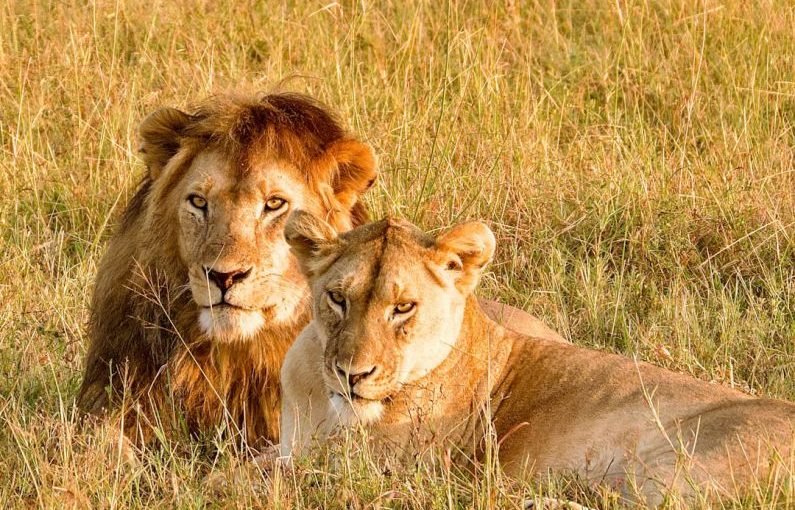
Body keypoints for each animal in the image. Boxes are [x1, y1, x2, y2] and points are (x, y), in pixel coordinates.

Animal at [280, 212, 795, 506]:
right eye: (337, 298)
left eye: (403, 307)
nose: (351, 374)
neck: (323, 402)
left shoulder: (374, 468)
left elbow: (270, 474)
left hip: (679, 464)